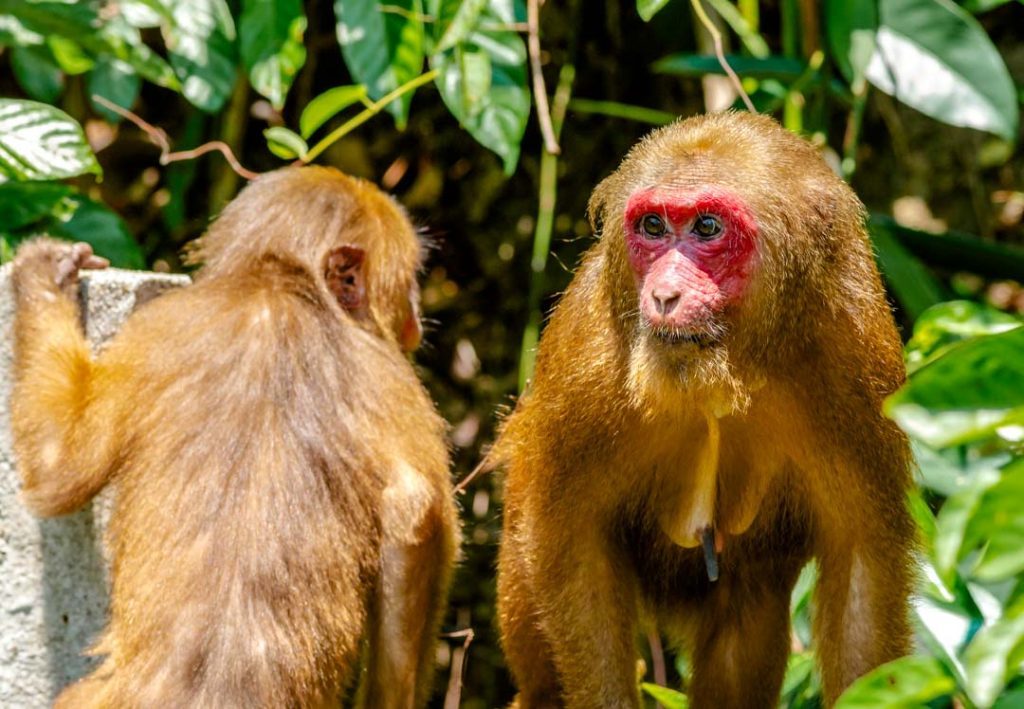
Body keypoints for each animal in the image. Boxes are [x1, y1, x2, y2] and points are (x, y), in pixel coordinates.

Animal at [10, 166, 458, 708]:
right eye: (408, 283)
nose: (415, 311)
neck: (279, 284)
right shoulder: (387, 367)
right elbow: (415, 513)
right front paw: (46, 277)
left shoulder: (157, 325)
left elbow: (60, 471)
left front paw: (45, 278)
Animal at [493, 112, 915, 708]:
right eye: (652, 226)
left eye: (708, 228)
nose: (664, 295)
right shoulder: (589, 355)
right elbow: (572, 546)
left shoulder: (856, 358)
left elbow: (863, 568)